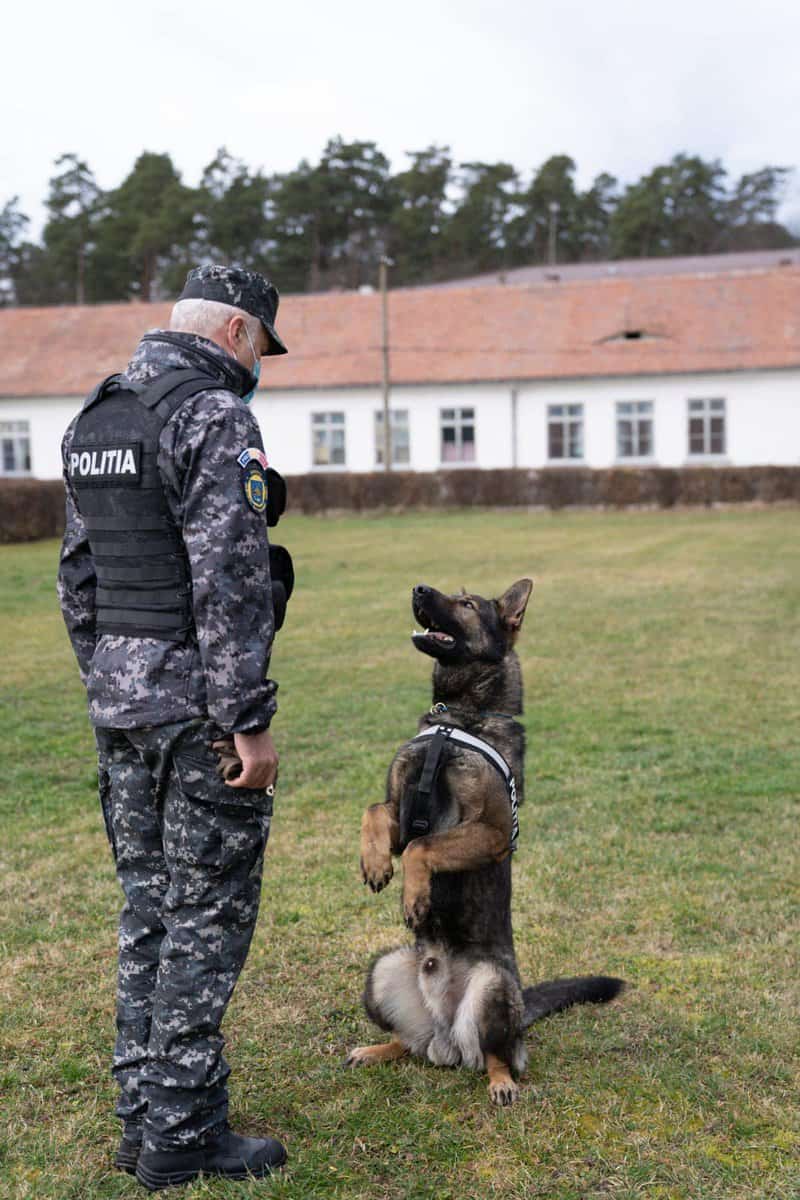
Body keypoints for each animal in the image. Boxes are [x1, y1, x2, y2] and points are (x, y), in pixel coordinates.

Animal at [347, 580, 623, 1104]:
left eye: (468, 604)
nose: (417, 587)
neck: (459, 718)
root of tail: (445, 1036)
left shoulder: (491, 833)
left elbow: (423, 849)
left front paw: (414, 894)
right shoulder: (400, 810)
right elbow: (373, 812)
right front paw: (375, 864)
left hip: (492, 989)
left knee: (496, 1054)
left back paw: (501, 1083)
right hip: (382, 971)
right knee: (407, 1042)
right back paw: (378, 1050)